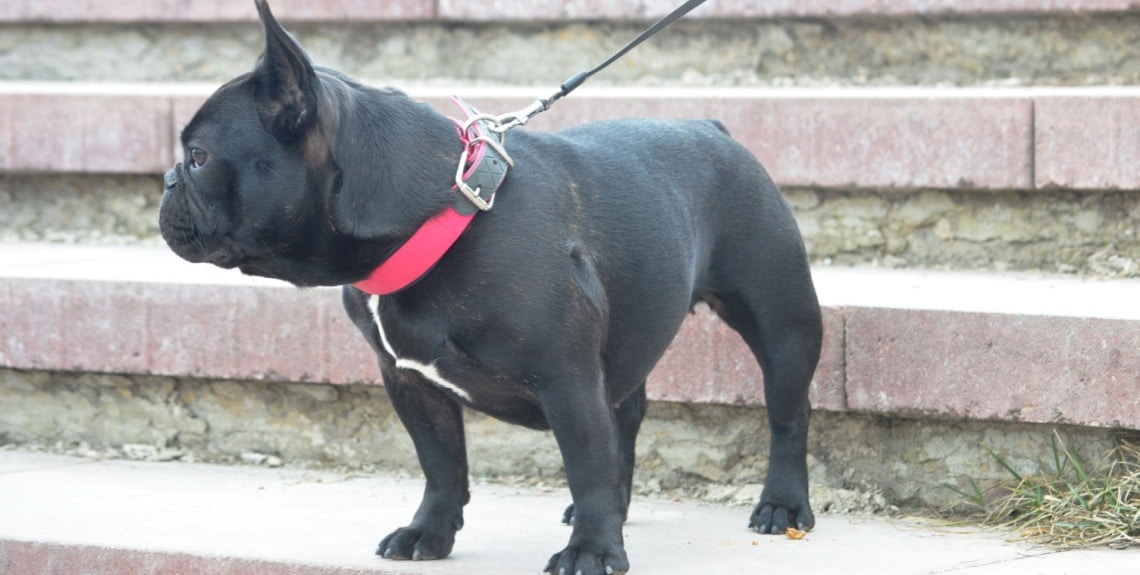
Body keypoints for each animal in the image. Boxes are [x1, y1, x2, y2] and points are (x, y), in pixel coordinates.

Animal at [160, 2, 820, 572]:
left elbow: (585, 461)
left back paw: (782, 506)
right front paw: (427, 533)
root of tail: (711, 126)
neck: (436, 216)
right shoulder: (409, 380)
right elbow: (441, 464)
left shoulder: (567, 380)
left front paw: (592, 552)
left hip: (783, 322)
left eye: (198, 157)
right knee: (627, 413)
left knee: (787, 415)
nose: (166, 179)